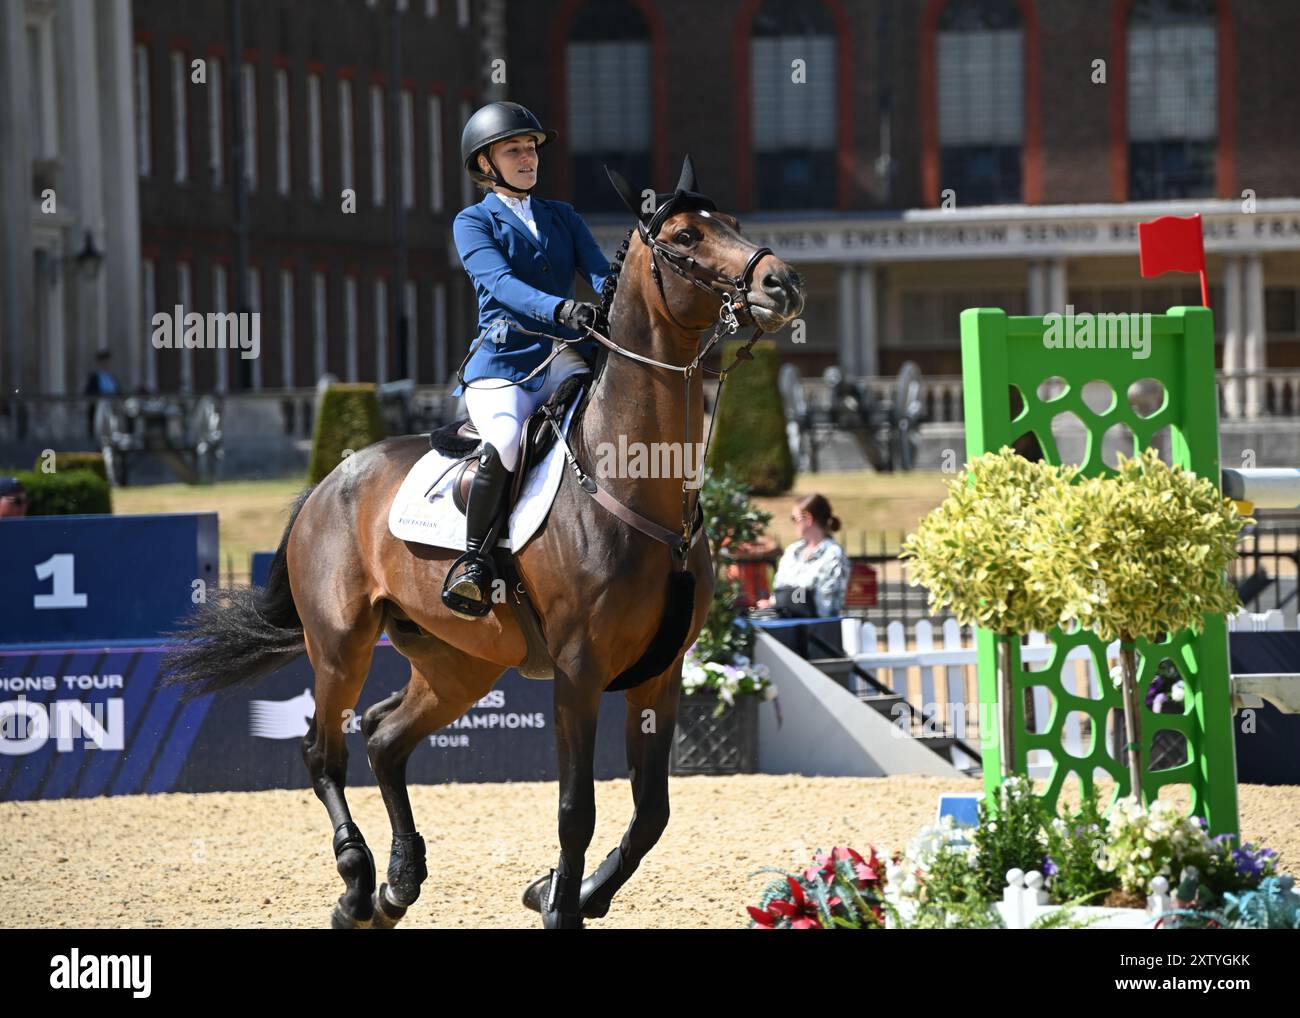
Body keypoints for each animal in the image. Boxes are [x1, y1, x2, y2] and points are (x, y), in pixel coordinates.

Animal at [159, 155, 800, 925]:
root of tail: (330, 479)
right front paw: (559, 904)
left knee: (385, 738)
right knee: (323, 749)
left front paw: (564, 891)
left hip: (459, 663)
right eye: (683, 237)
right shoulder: (579, 673)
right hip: (341, 644)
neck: (632, 482)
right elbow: (575, 810)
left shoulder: (660, 673)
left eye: (729, 222)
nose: (782, 284)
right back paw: (356, 882)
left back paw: (398, 884)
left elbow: (651, 813)